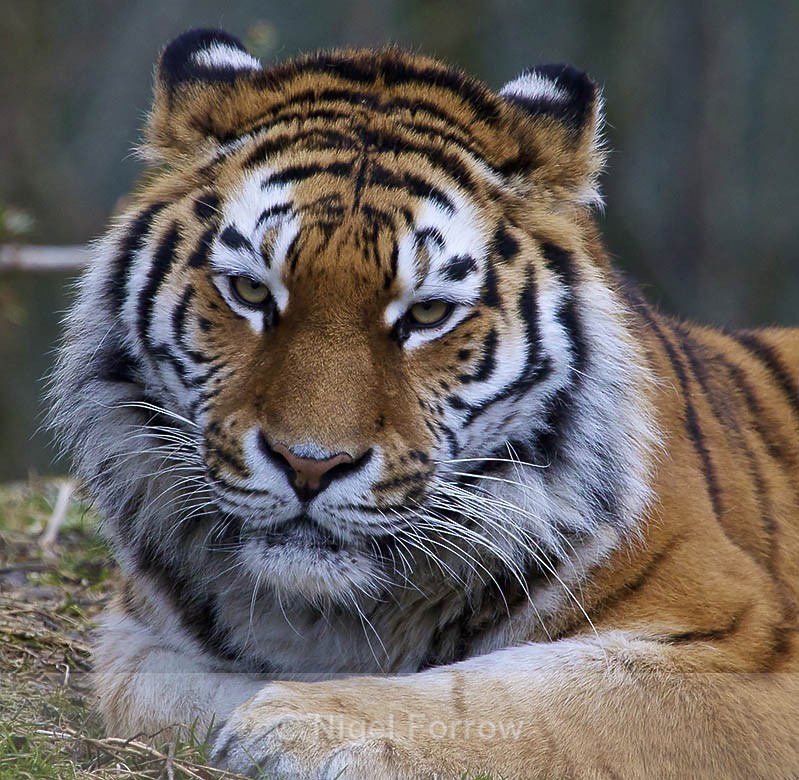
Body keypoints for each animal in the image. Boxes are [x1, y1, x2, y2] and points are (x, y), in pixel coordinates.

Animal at [50, 27, 799, 780]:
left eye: (428, 313)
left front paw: (294, 722)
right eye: (253, 292)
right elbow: (159, 690)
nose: (309, 465)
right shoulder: (139, 640)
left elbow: (531, 699)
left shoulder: (749, 654)